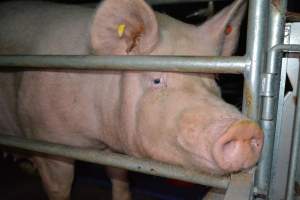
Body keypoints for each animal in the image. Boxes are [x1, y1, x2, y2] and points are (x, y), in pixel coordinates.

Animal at [0, 0, 262, 199]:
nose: (244, 128)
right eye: (157, 80)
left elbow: (120, 179)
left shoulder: (117, 153)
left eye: (214, 78)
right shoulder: (46, 139)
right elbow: (60, 188)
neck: (101, 138)